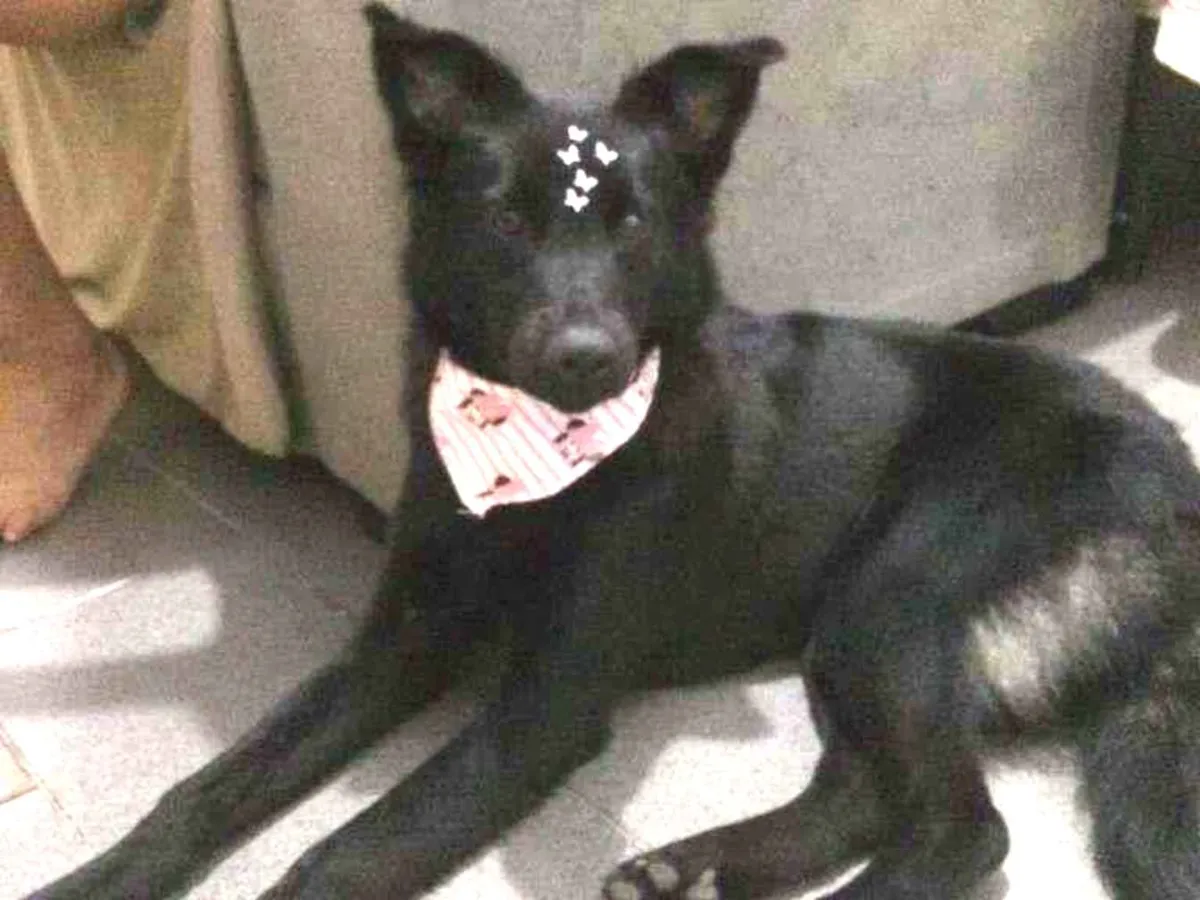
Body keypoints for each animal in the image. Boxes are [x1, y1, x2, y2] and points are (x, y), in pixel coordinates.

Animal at [28, 6, 1200, 899]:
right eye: (505, 218)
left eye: (633, 223)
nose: (587, 358)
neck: (525, 471)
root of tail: (1178, 483)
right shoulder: (396, 643)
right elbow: (206, 788)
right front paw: (94, 878)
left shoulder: (540, 713)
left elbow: (346, 853)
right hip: (847, 626)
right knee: (866, 791)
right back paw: (697, 866)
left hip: (899, 593)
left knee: (962, 828)